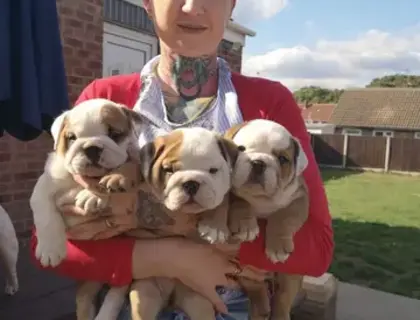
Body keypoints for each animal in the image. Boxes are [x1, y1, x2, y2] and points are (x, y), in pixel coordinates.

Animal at [225, 119, 310, 320]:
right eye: (241, 149)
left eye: (282, 159)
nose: (258, 162)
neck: (261, 199)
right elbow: (239, 200)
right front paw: (245, 226)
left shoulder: (299, 198)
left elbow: (283, 217)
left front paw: (277, 247)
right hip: (247, 274)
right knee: (256, 289)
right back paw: (262, 305)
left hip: (292, 275)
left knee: (283, 297)